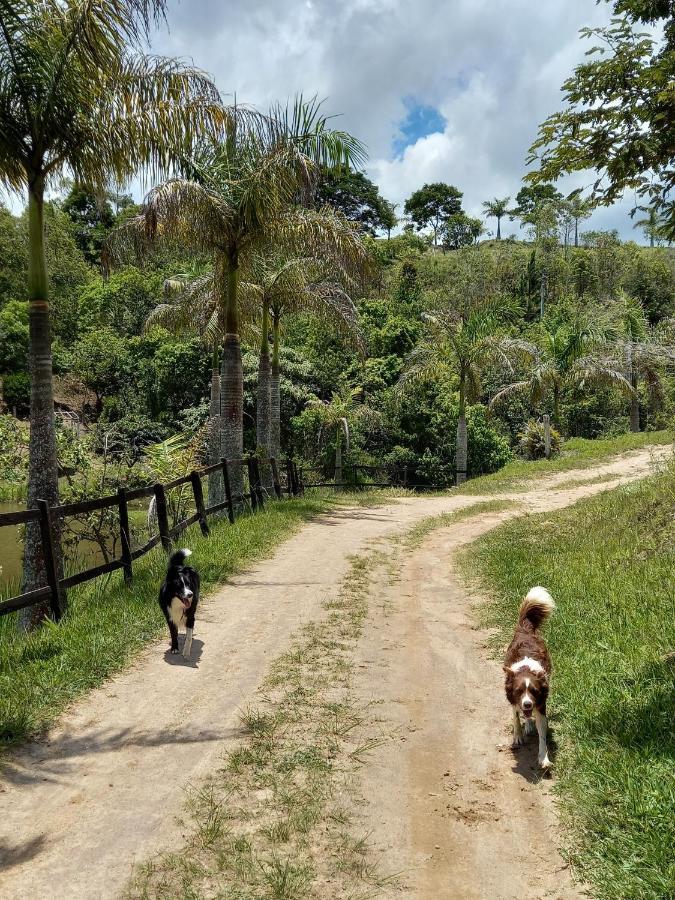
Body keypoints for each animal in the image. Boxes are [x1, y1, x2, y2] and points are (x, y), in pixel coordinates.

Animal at [504, 588, 556, 768]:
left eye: (534, 690)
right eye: (519, 690)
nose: (527, 703)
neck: (526, 670)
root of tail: (525, 630)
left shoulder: (540, 704)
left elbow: (542, 735)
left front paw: (543, 758)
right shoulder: (513, 698)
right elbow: (515, 716)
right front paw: (518, 736)